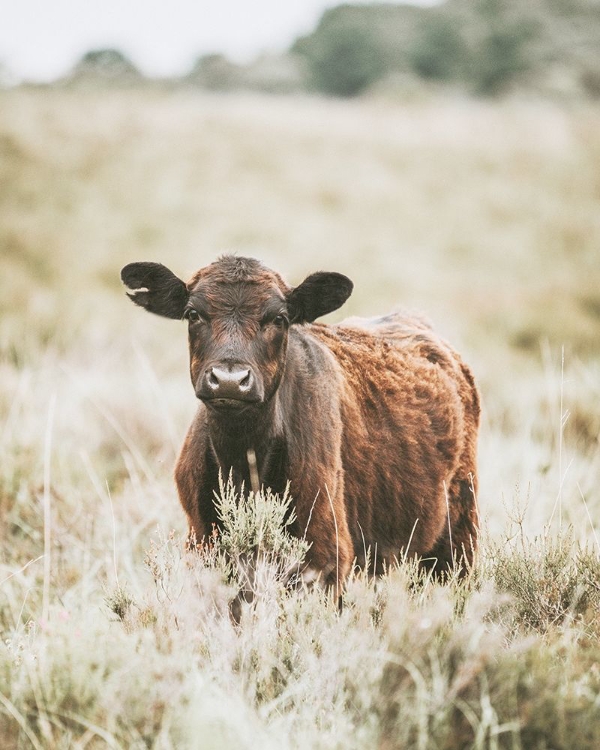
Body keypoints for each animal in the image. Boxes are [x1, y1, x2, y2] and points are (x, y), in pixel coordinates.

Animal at [122, 256, 482, 596]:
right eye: (193, 314)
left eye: (279, 319)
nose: (229, 380)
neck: (243, 460)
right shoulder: (203, 544)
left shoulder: (325, 554)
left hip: (457, 540)